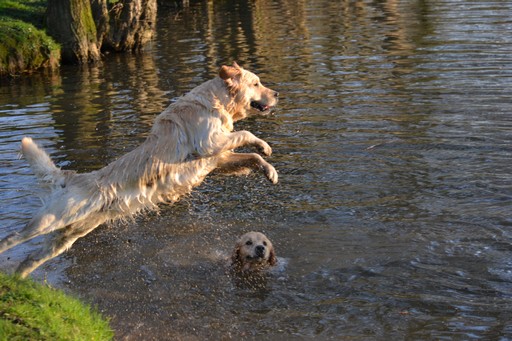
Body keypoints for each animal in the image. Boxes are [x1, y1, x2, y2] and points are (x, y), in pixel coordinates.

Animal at [1, 63, 280, 276]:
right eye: (256, 83)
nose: (277, 93)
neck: (215, 102)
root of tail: (70, 179)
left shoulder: (217, 159)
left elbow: (251, 156)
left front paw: (269, 171)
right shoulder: (210, 143)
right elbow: (246, 133)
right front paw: (264, 144)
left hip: (68, 235)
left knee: (31, 259)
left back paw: (17, 281)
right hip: (52, 219)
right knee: (13, 237)